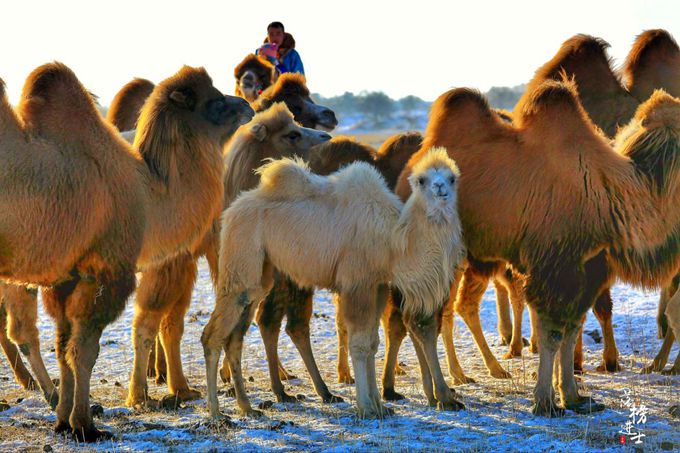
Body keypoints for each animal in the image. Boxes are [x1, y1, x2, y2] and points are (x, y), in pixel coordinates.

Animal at [203, 147, 468, 416]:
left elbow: (373, 342)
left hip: (261, 274)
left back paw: (247, 407)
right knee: (213, 334)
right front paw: (367, 407)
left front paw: (380, 406)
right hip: (241, 256)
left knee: (235, 337)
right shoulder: (356, 282)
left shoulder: (377, 285)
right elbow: (360, 343)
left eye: (452, 178)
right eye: (422, 180)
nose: (440, 188)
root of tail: (230, 211)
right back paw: (216, 412)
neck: (393, 241)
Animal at [396, 79, 680, 414]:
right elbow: (553, 333)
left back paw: (436, 391)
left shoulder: (589, 267)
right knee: (425, 319)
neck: (609, 195)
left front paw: (574, 396)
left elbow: (572, 328)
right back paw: (445, 395)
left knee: (419, 315)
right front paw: (545, 401)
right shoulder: (554, 266)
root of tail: (407, 174)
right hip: (433, 254)